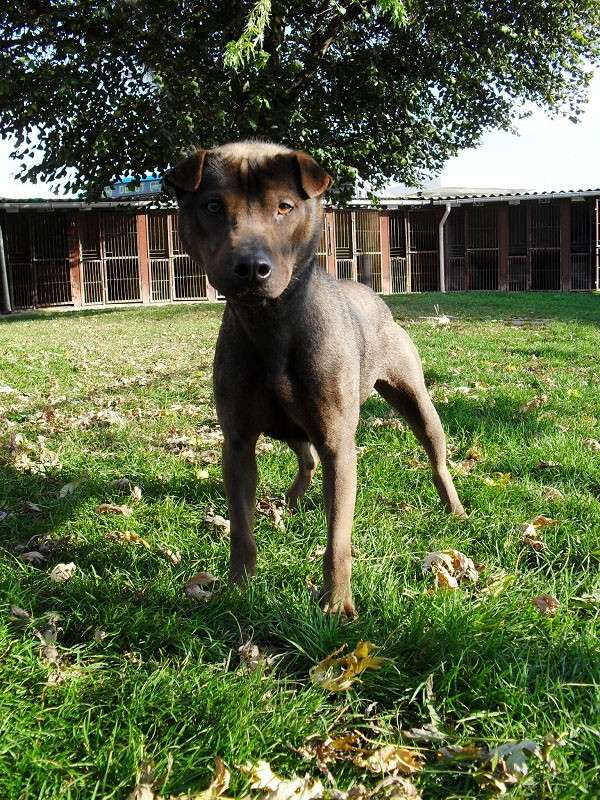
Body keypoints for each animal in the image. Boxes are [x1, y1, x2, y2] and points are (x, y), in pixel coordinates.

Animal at [166, 141, 466, 616]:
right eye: (212, 206)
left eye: (284, 207)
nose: (251, 267)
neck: (271, 323)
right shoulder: (238, 442)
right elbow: (241, 527)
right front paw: (238, 586)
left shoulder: (337, 445)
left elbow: (338, 538)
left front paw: (336, 602)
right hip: (292, 422)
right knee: (303, 458)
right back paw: (291, 500)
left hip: (415, 402)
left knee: (436, 457)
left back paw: (454, 508)